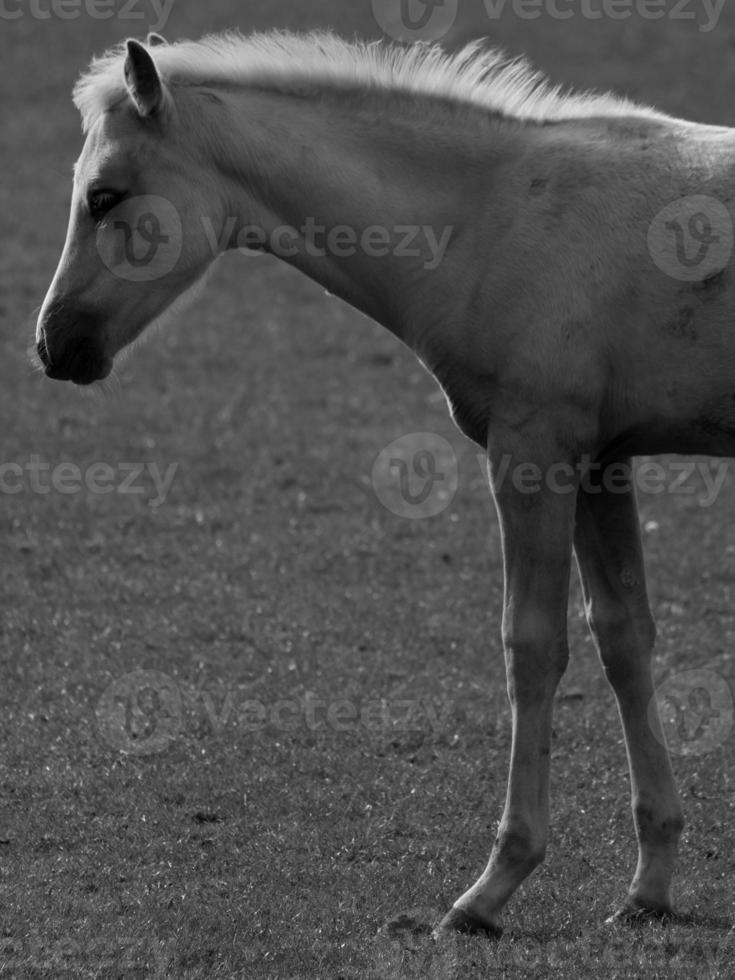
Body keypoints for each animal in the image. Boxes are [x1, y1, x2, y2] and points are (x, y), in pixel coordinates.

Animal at [36, 28, 735, 936]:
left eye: (105, 195)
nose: (53, 345)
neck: (489, 217)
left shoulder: (533, 449)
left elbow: (531, 647)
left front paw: (490, 889)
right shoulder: (600, 459)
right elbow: (623, 638)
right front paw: (649, 883)